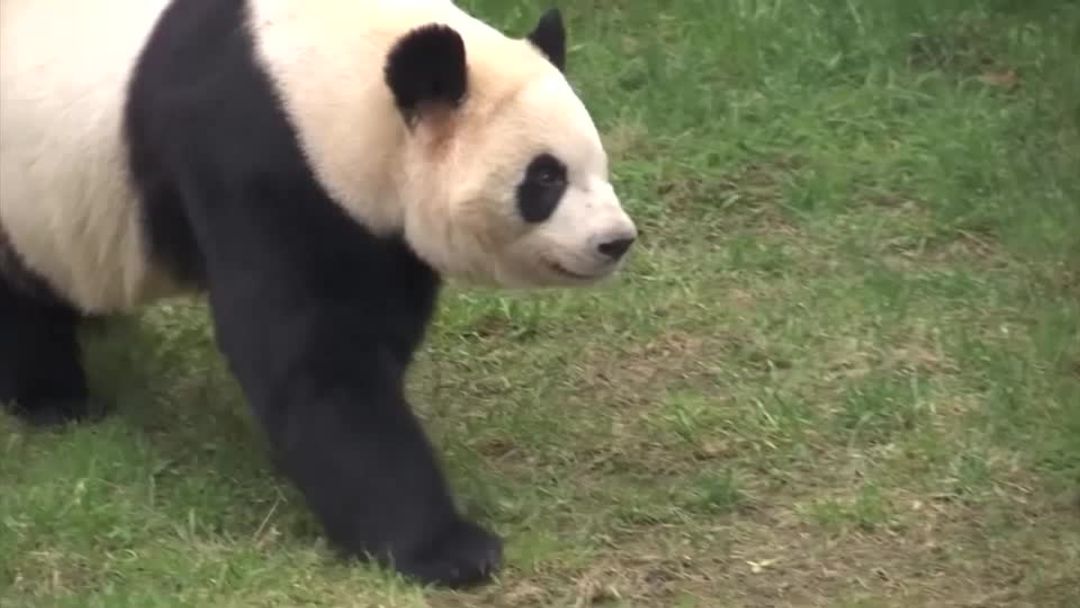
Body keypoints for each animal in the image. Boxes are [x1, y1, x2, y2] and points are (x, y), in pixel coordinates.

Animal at [0, 0, 637, 589]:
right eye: (545, 178)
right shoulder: (257, 152)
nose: (616, 241)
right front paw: (448, 550)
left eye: (597, 164)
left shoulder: (374, 223)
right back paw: (57, 402)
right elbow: (314, 357)